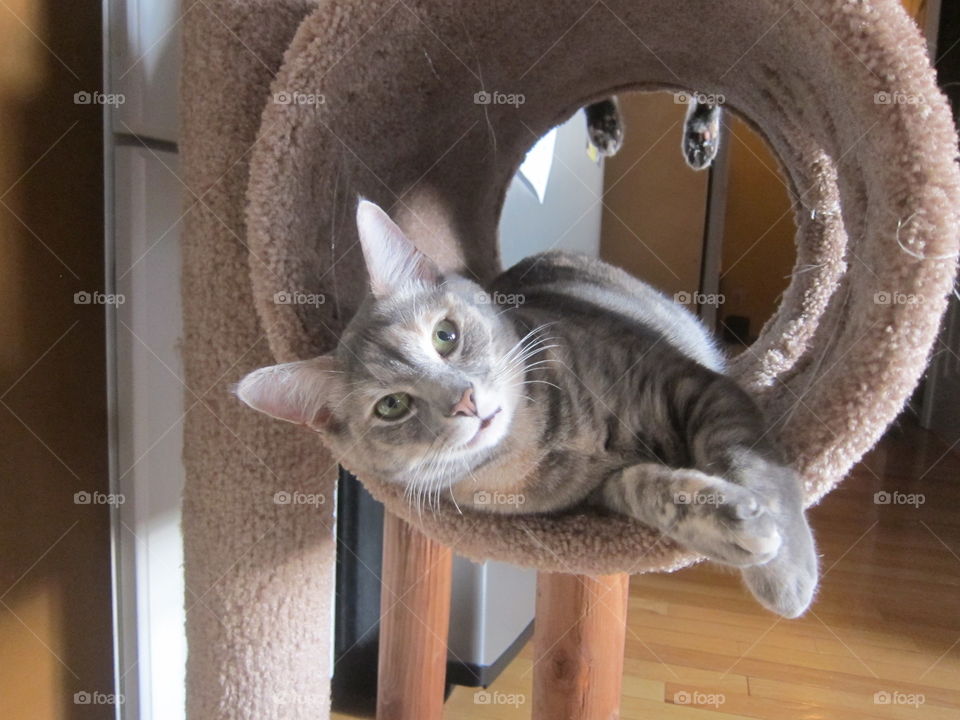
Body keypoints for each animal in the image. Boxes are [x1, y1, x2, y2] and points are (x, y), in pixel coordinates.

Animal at [240, 200, 816, 616]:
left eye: (445, 336)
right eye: (393, 406)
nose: (465, 401)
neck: (541, 439)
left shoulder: (691, 383)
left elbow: (750, 460)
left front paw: (785, 572)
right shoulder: (600, 493)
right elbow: (655, 491)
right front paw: (734, 526)